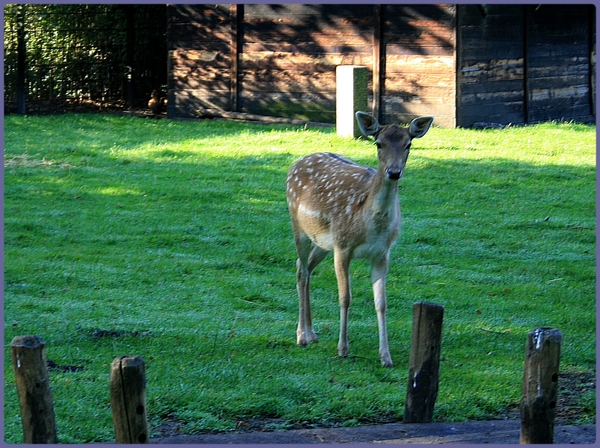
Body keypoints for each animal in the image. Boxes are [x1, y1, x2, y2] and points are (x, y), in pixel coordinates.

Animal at [284, 110, 432, 366]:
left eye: (409, 144)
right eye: (378, 143)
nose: (394, 172)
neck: (371, 225)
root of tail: (297, 162)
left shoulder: (382, 253)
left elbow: (381, 303)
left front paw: (386, 356)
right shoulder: (343, 246)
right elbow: (345, 297)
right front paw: (343, 348)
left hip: (323, 242)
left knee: (306, 269)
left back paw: (312, 334)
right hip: (299, 226)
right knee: (301, 271)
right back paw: (301, 336)